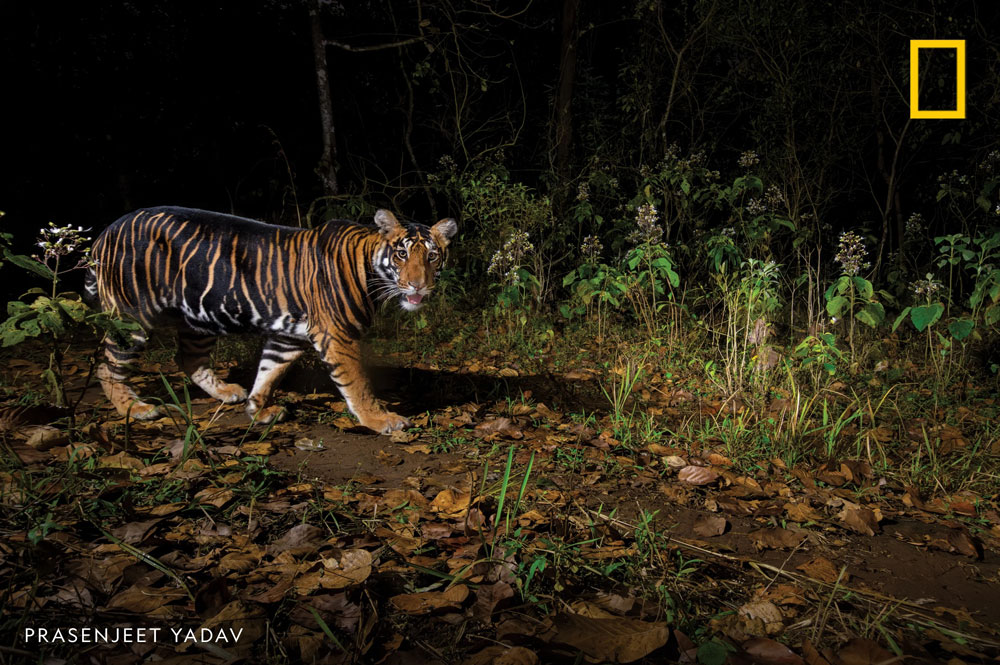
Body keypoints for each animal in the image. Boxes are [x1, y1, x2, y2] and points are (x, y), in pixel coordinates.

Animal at [84, 206, 457, 433]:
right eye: (402, 253)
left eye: (432, 256)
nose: (418, 285)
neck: (370, 269)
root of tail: (105, 231)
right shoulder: (338, 335)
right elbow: (358, 384)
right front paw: (381, 419)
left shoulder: (288, 337)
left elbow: (269, 372)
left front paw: (258, 410)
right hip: (132, 317)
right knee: (106, 365)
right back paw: (136, 409)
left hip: (199, 317)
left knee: (188, 358)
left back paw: (227, 392)